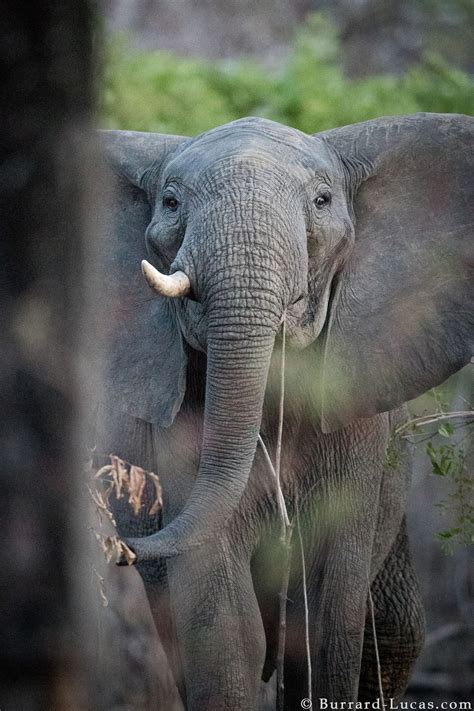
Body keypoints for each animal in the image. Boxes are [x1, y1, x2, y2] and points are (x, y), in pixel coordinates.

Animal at [94, 114, 472, 708]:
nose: (123, 548)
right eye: (171, 202)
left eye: (322, 200)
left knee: (392, 633)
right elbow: (227, 630)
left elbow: (325, 622)